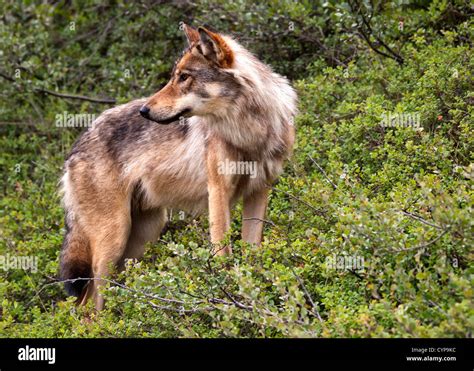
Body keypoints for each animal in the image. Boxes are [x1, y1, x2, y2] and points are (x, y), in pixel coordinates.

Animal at [59, 24, 296, 310]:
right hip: (113, 239)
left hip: (142, 236)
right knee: (87, 304)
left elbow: (253, 251)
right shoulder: (218, 192)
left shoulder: (259, 191)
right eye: (174, 77)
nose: (144, 110)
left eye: (184, 77)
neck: (249, 131)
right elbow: (223, 255)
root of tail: (75, 147)